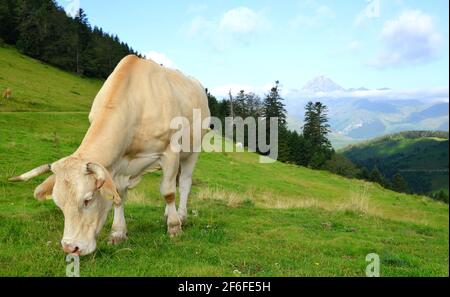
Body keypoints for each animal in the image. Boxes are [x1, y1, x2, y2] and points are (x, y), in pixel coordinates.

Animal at [9, 55, 211, 254]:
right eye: (58, 203)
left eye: (88, 199)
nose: (70, 247)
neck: (136, 102)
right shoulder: (118, 164)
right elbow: (118, 196)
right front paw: (118, 233)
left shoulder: (170, 152)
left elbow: (168, 192)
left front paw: (174, 227)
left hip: (192, 151)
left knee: (184, 183)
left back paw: (181, 215)